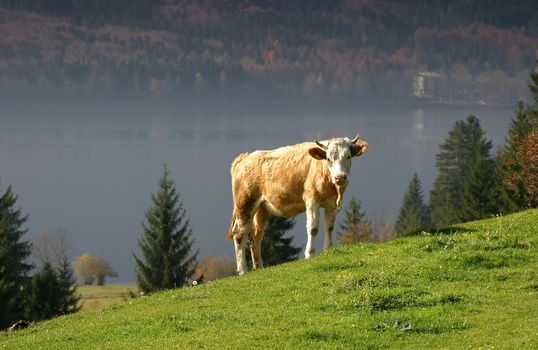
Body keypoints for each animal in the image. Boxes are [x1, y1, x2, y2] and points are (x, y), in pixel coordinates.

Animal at [224, 135, 366, 274]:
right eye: (328, 158)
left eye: (348, 156)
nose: (340, 177)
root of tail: (244, 157)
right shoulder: (311, 199)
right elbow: (313, 228)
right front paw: (309, 254)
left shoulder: (332, 204)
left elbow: (329, 227)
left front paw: (328, 249)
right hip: (244, 204)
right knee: (239, 233)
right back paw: (243, 269)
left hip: (261, 208)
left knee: (256, 234)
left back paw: (259, 266)